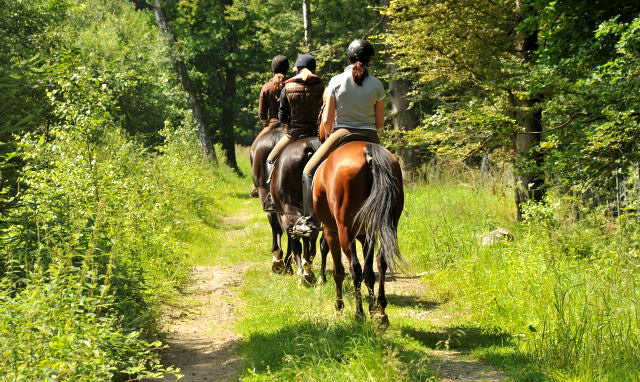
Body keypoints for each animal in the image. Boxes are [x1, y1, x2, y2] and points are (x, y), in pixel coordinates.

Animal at [316, 140, 404, 326]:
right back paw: (381, 310)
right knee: (380, 261)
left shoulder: (331, 232)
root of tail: (367, 151)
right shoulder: (366, 236)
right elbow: (369, 273)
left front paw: (339, 307)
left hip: (344, 232)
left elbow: (339, 271)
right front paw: (372, 309)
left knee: (354, 269)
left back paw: (359, 313)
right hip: (388, 226)